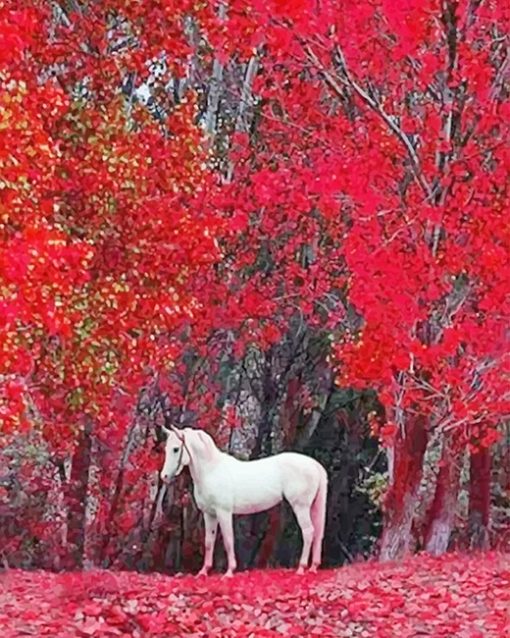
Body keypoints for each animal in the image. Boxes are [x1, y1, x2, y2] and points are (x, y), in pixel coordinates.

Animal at [159, 424, 326, 580]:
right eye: (167, 448)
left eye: (176, 449)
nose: (164, 477)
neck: (212, 470)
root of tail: (314, 465)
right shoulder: (209, 514)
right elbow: (208, 542)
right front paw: (203, 572)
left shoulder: (224, 513)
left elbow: (228, 540)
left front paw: (229, 572)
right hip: (312, 507)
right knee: (317, 533)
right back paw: (313, 567)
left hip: (301, 507)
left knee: (308, 532)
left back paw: (301, 568)